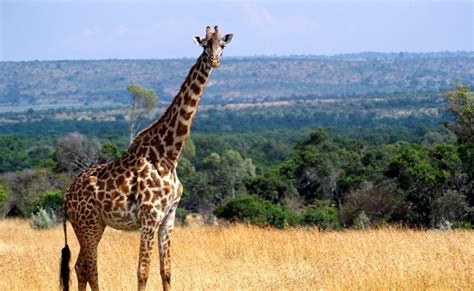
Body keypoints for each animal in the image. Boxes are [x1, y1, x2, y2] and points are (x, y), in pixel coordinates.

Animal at [59, 25, 233, 291]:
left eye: (222, 45)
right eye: (204, 45)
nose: (214, 60)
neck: (169, 156)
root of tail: (67, 196)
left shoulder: (168, 217)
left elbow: (166, 270)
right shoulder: (150, 217)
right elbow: (142, 271)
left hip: (93, 225)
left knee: (80, 266)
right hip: (88, 224)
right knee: (90, 267)